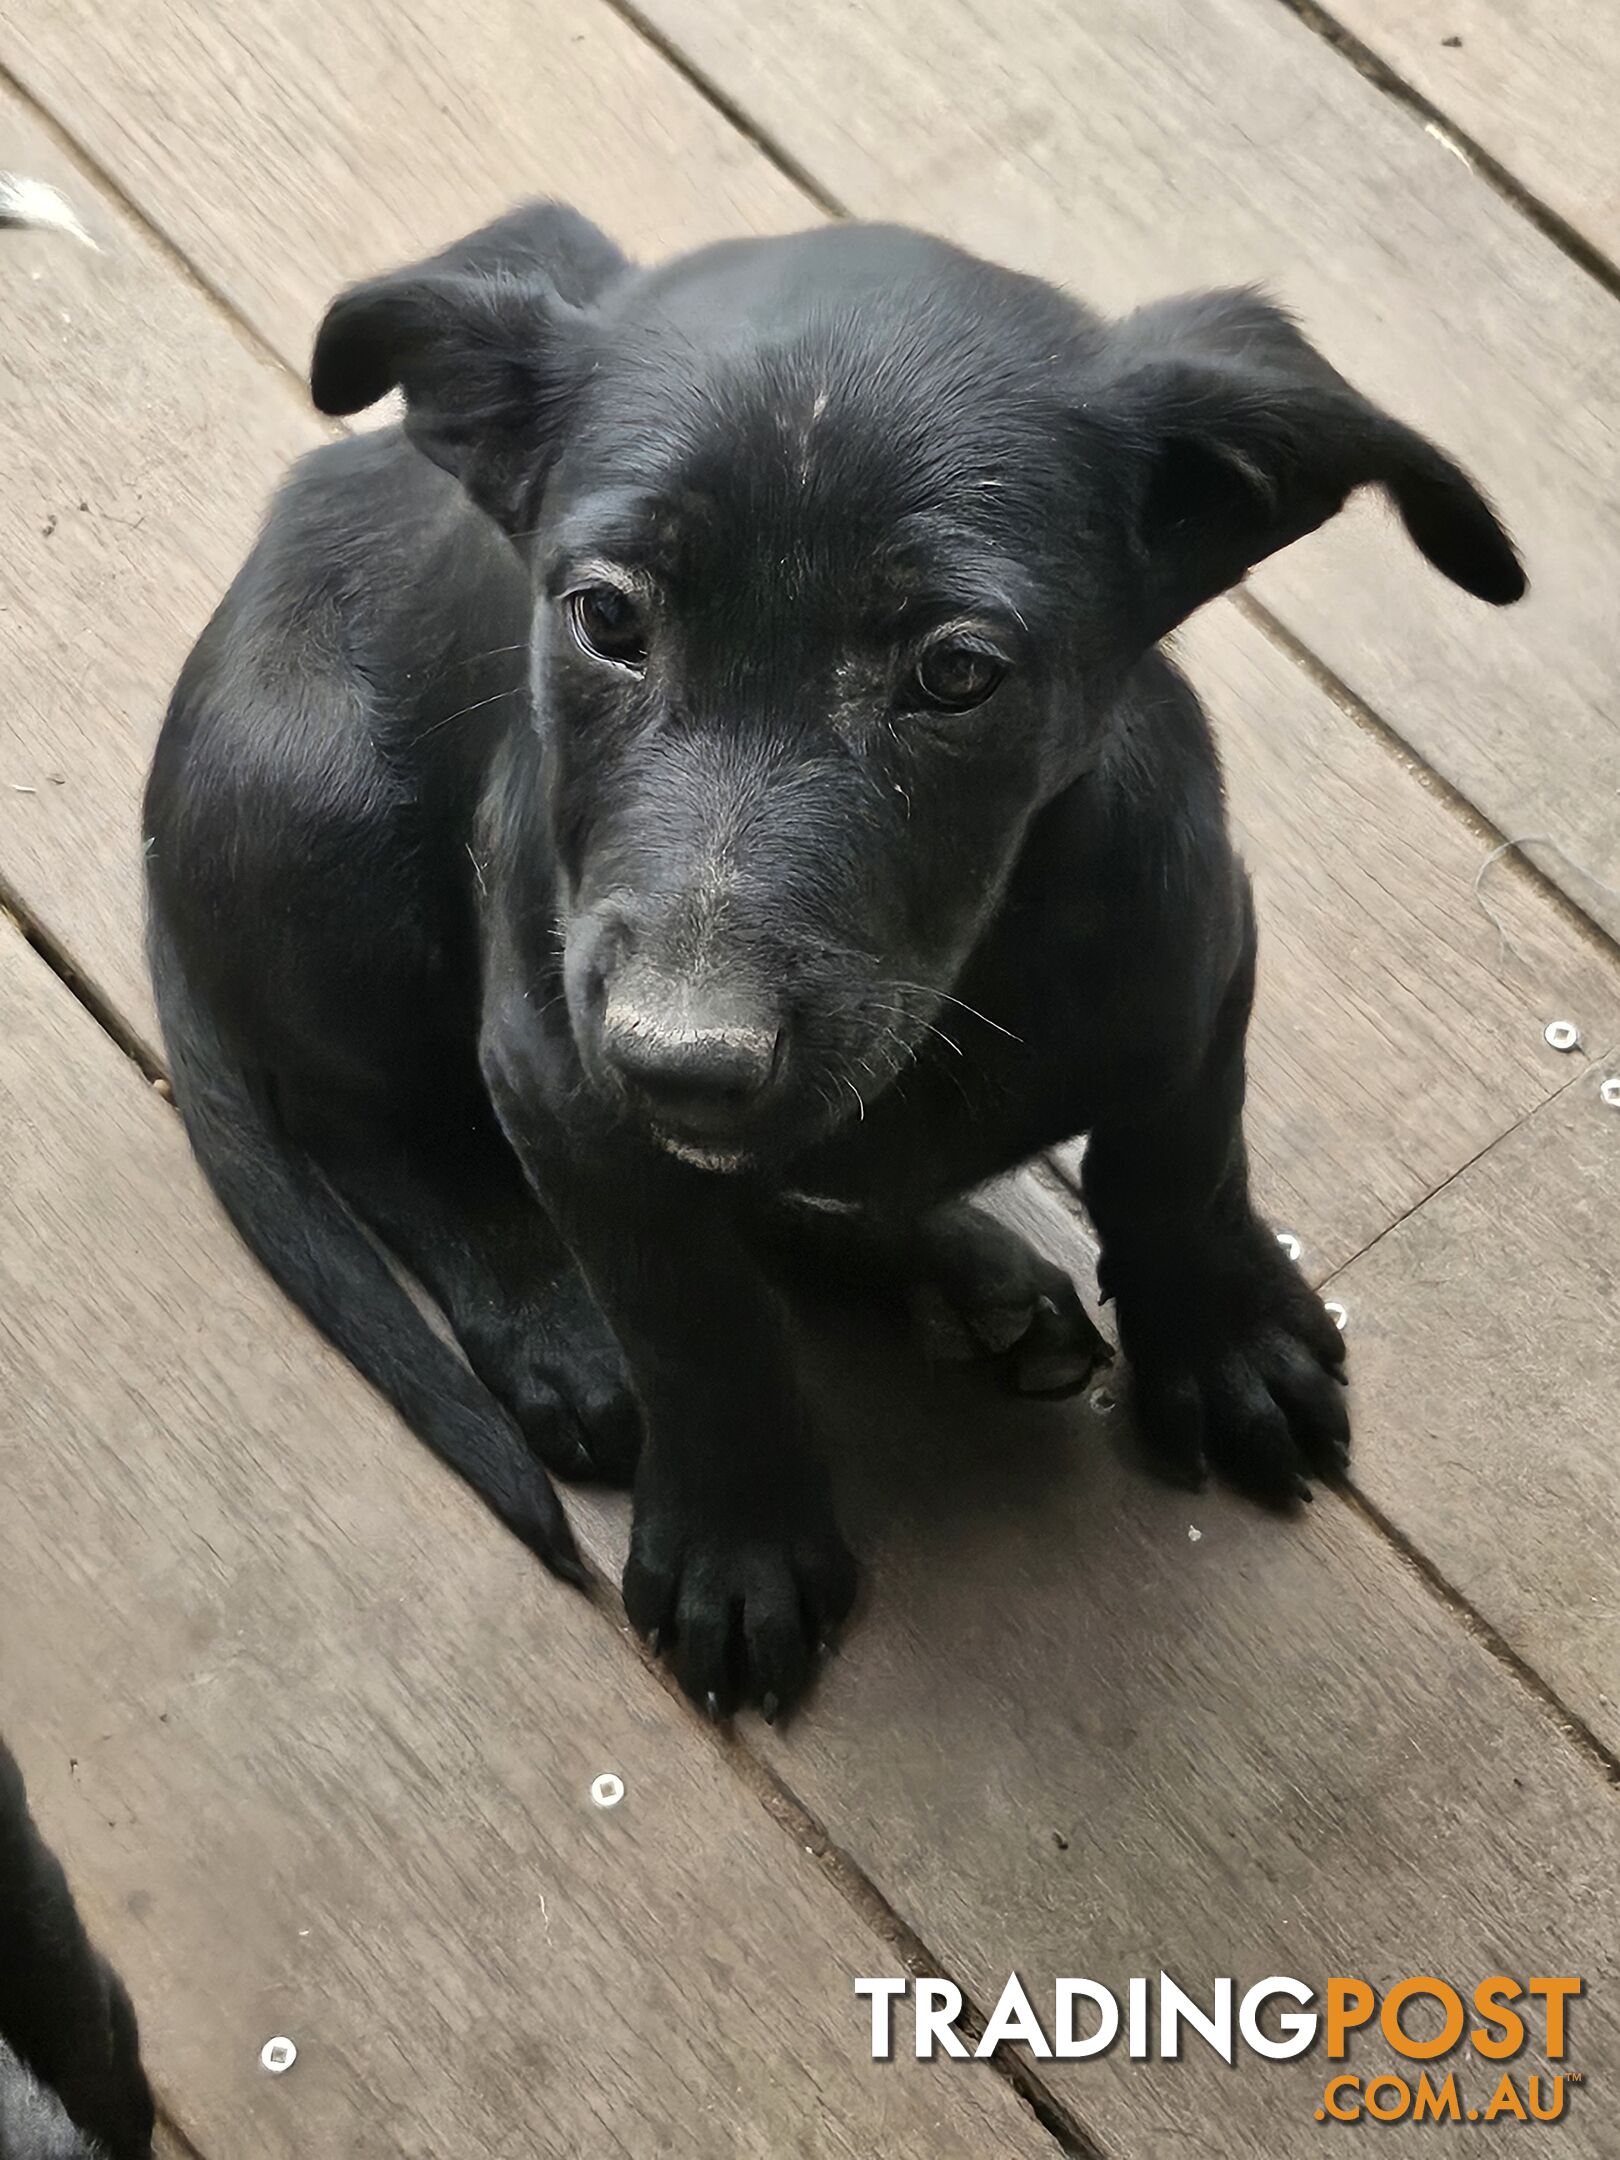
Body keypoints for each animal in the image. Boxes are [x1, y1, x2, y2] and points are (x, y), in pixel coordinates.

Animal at [145, 203, 1529, 1719]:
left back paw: (957, 1275)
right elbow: (692, 1320)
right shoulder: (554, 1070)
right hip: (324, 824)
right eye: (606, 619)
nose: (683, 1061)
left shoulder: (1200, 956)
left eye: (958, 673)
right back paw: (562, 1327)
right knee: (383, 1133)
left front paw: (1222, 1340)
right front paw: (737, 1543)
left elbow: (1181, 1156)